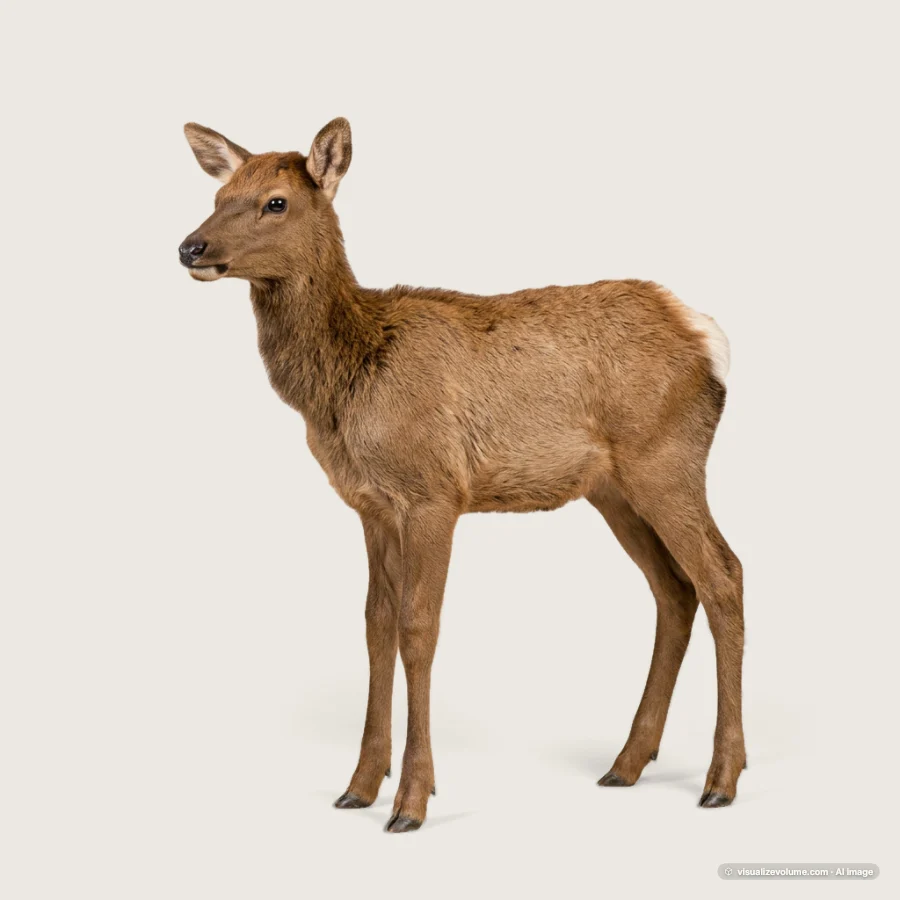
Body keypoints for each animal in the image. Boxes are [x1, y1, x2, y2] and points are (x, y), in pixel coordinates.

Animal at [179, 117, 745, 833]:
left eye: (275, 202)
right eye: (220, 193)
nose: (190, 247)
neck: (346, 385)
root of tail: (707, 336)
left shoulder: (434, 492)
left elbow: (419, 628)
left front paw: (411, 802)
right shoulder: (371, 504)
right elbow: (375, 624)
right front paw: (358, 785)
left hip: (667, 459)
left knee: (724, 575)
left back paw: (721, 778)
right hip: (613, 489)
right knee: (674, 590)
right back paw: (626, 763)